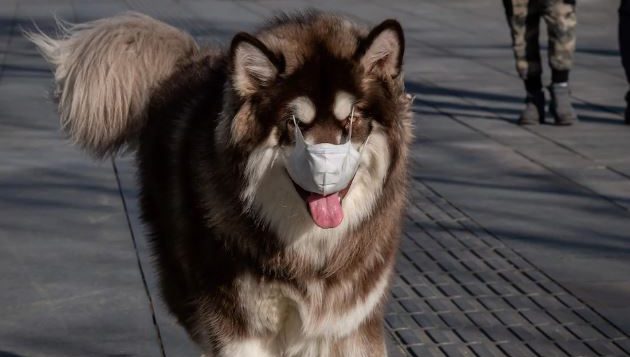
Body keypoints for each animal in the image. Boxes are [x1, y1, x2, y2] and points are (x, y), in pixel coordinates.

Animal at [28, 11, 414, 356]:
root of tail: (192, 57)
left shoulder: (351, 325)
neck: (309, 252)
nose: (324, 176)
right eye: (294, 123)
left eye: (352, 119)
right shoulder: (238, 326)